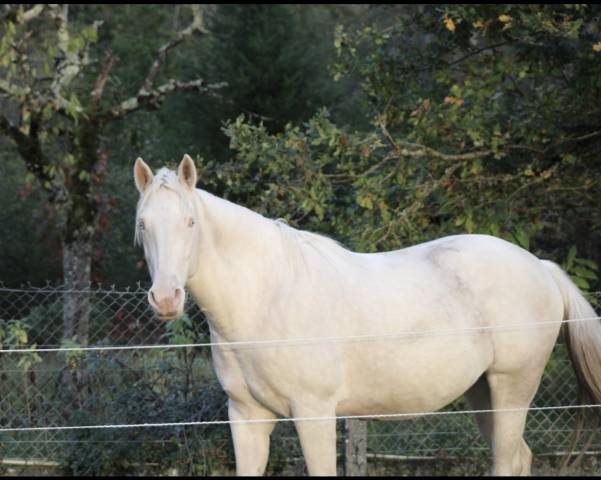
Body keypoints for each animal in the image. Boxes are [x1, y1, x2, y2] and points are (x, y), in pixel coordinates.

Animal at [132, 157, 600, 476]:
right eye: (142, 224)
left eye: (190, 222)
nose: (166, 298)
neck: (268, 296)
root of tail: (541, 267)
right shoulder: (247, 417)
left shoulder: (314, 414)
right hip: (483, 392)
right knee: (520, 456)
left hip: (512, 388)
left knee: (507, 460)